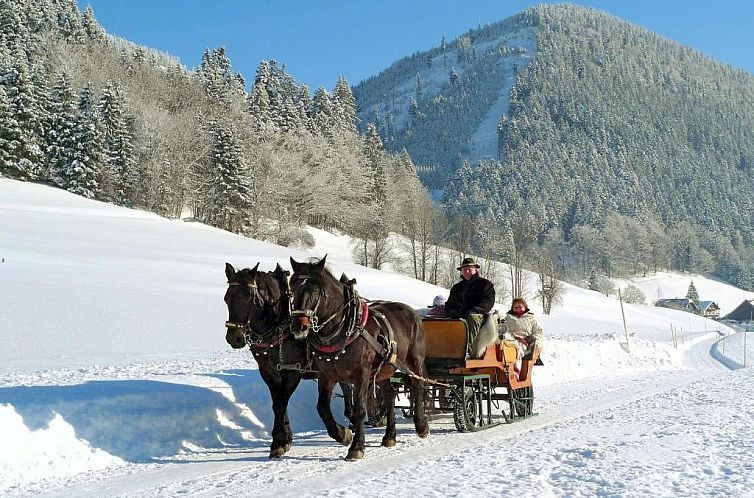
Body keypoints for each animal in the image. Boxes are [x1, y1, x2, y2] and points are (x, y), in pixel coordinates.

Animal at [222, 260, 354, 460]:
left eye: (250, 298)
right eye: (227, 298)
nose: (234, 338)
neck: (279, 324)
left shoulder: (293, 370)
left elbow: (280, 403)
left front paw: (278, 441)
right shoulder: (268, 371)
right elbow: (277, 403)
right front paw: (284, 438)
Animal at [288, 256, 428, 460]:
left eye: (315, 290)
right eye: (291, 289)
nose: (300, 326)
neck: (345, 327)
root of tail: (412, 313)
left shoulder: (361, 374)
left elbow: (359, 410)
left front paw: (357, 447)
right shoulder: (327, 375)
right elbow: (322, 408)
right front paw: (343, 434)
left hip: (414, 362)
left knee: (418, 387)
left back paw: (421, 425)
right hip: (384, 370)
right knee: (389, 396)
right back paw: (389, 436)